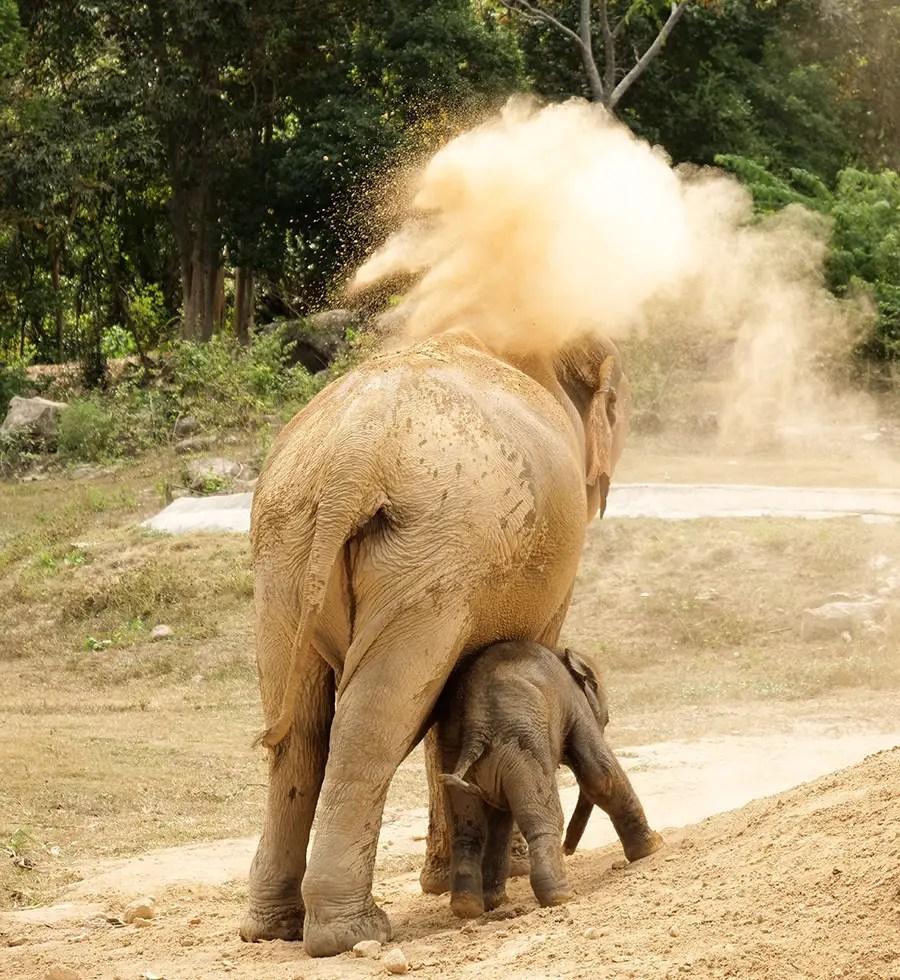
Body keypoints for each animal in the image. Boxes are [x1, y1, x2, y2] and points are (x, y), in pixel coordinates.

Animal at [243, 328, 628, 956]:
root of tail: (351, 461)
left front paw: (454, 883)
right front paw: (506, 874)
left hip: (285, 551)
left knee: (298, 731)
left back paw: (274, 929)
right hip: (431, 554)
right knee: (373, 724)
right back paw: (351, 934)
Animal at [434, 640, 660, 916]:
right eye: (606, 720)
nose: (568, 849)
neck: (564, 653)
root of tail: (477, 728)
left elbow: (499, 819)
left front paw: (492, 902)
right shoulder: (574, 703)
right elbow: (600, 774)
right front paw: (653, 848)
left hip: (454, 750)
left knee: (469, 827)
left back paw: (468, 907)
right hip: (522, 745)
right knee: (543, 817)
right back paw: (560, 896)